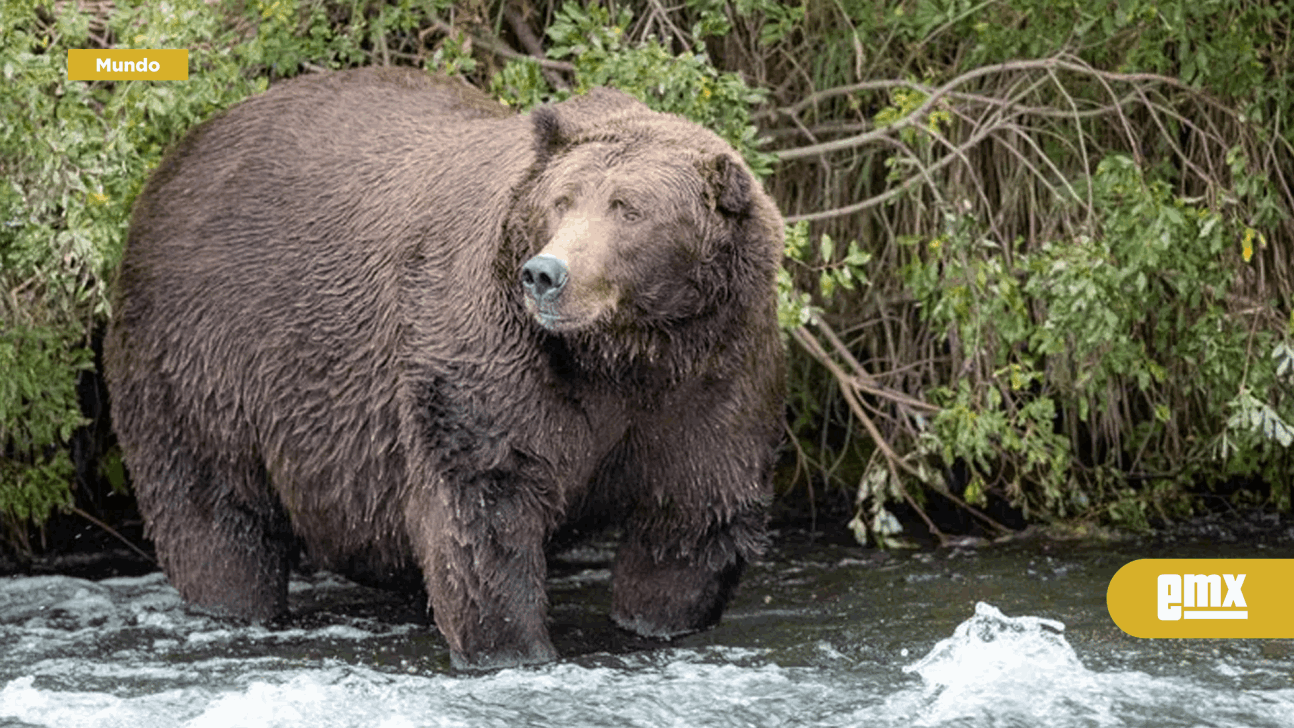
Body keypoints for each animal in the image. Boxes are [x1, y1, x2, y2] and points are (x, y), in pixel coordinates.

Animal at [100, 68, 781, 672]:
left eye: (629, 208)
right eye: (561, 201)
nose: (546, 274)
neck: (624, 353)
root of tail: (176, 158)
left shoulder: (711, 376)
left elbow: (692, 516)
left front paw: (658, 619)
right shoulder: (494, 352)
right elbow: (485, 503)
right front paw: (511, 649)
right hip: (201, 358)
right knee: (213, 511)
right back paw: (233, 604)